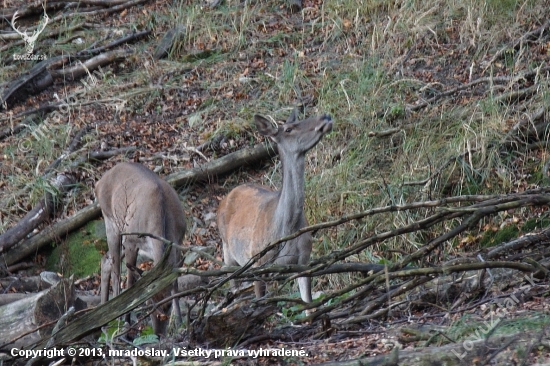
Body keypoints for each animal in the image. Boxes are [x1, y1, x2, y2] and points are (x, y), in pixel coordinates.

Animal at [96, 162, 187, 334]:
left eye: (167, 305)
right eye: (148, 302)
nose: (158, 333)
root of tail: (98, 182)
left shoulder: (178, 242)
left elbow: (175, 284)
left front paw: (180, 323)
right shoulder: (132, 242)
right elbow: (131, 283)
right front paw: (126, 323)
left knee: (106, 260)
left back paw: (103, 323)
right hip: (111, 222)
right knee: (116, 273)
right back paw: (115, 322)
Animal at [218, 108, 334, 304]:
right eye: (288, 129)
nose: (325, 116)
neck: (286, 227)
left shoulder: (304, 260)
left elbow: (308, 303)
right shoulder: (258, 263)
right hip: (229, 253)